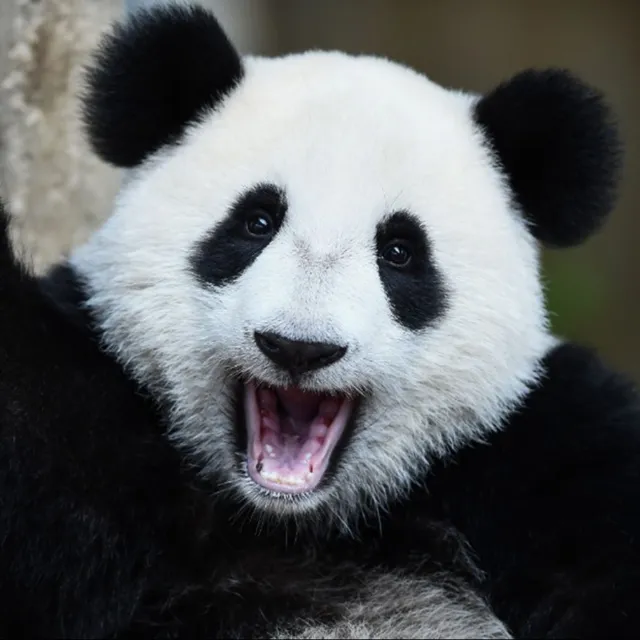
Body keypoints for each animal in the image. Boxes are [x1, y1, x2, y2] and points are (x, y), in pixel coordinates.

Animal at [2, 1, 640, 637]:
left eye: (400, 251)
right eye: (256, 222)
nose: (299, 348)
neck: (296, 522)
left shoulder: (546, 458)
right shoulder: (92, 435)